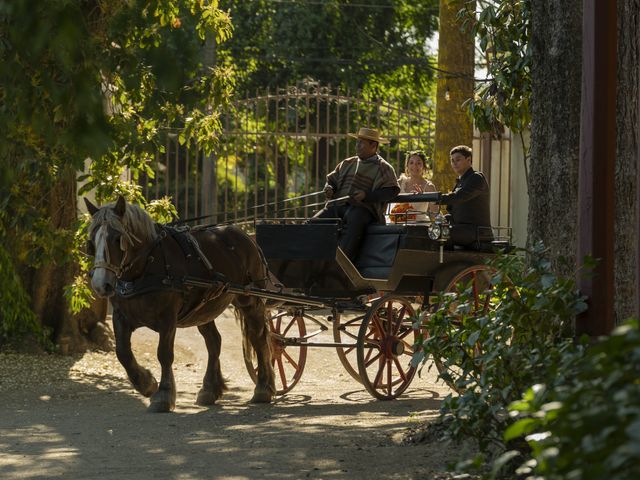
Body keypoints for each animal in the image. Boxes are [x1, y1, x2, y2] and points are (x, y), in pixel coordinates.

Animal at [85, 196, 276, 412]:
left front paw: (163, 394)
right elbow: (123, 352)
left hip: (250, 301)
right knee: (214, 342)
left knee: (258, 338)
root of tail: (245, 236)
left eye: (118, 239)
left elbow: (164, 353)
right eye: (91, 242)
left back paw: (263, 389)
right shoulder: (120, 316)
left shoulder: (167, 317)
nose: (101, 284)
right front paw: (146, 383)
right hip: (204, 308)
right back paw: (209, 389)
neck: (145, 267)